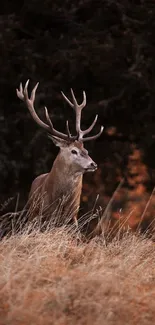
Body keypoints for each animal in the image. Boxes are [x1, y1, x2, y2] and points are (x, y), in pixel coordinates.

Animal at [16, 80, 103, 233]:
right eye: (73, 151)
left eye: (86, 149)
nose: (93, 164)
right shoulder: (42, 215)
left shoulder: (72, 217)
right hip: (31, 213)